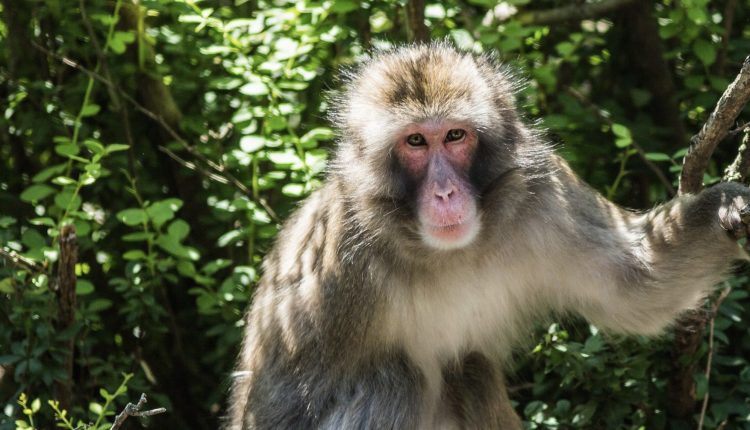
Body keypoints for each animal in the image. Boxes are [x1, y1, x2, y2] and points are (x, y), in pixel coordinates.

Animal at [225, 42, 750, 429]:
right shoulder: (335, 270)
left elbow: (639, 284)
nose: (445, 192)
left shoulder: (544, 195)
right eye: (415, 142)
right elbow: (277, 409)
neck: (446, 255)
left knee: (469, 369)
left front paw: (728, 208)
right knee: (395, 378)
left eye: (455, 136)